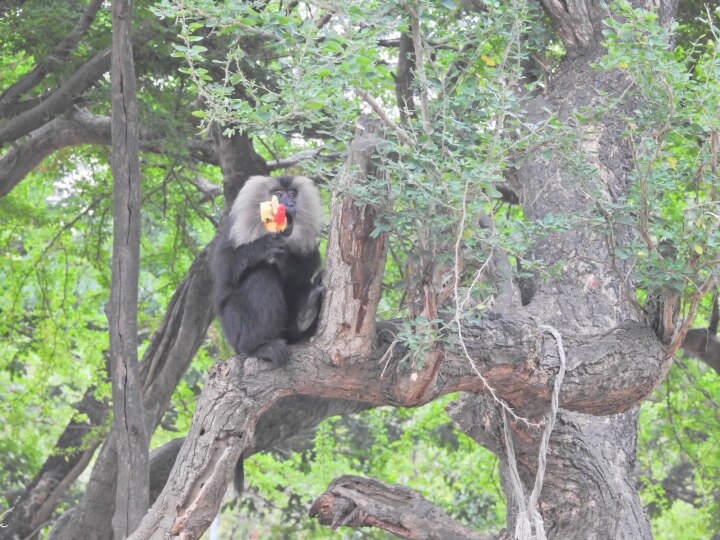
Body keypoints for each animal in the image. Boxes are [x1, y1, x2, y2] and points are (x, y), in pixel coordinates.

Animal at [211, 175, 324, 364]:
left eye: (292, 194)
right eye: (278, 195)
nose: (288, 204)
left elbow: (305, 270)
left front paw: (287, 258)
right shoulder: (231, 232)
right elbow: (224, 269)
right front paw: (264, 246)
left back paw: (306, 313)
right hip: (234, 330)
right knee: (264, 273)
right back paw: (259, 346)